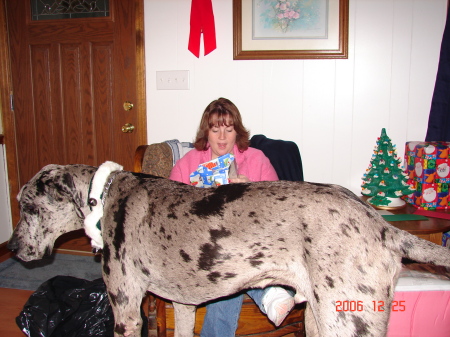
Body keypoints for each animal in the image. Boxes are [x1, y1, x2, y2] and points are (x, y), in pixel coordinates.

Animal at [7, 161, 450, 334]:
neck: (102, 197)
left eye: (28, 206)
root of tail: (382, 225)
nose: (10, 247)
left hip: (347, 320)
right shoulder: (182, 306)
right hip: (318, 319)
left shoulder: (127, 312)